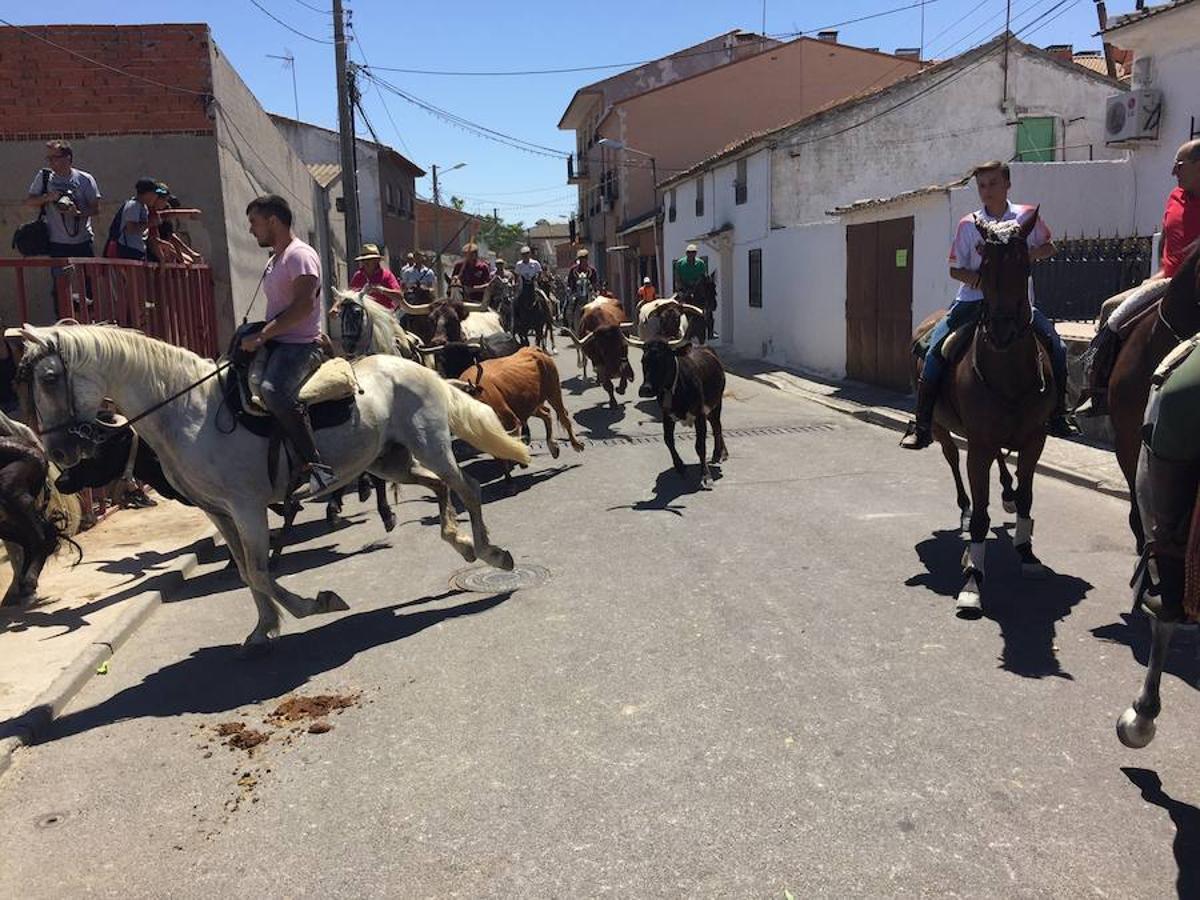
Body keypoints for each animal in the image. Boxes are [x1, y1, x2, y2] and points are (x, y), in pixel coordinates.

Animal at [16, 324, 532, 657]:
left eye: (49, 378)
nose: (57, 454)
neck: (189, 412)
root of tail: (419, 369)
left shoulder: (248, 508)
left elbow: (262, 573)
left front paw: (314, 605)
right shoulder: (218, 512)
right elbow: (247, 572)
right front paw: (263, 629)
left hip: (431, 445)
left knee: (467, 487)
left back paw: (492, 553)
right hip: (390, 461)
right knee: (439, 489)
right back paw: (460, 543)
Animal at [451, 348, 580, 487]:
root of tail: (533, 349)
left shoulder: (511, 421)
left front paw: (521, 463)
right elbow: (500, 455)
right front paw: (508, 479)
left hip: (553, 391)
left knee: (564, 417)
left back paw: (576, 444)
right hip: (530, 405)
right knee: (546, 414)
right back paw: (553, 447)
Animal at [912, 212, 1056, 619]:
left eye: (1025, 264)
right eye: (984, 265)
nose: (1004, 331)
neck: (1008, 373)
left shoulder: (1034, 439)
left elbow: (1026, 498)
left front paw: (1027, 552)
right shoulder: (977, 444)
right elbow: (980, 514)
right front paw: (973, 579)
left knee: (1002, 468)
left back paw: (1005, 492)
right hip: (942, 428)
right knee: (952, 462)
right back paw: (963, 508)